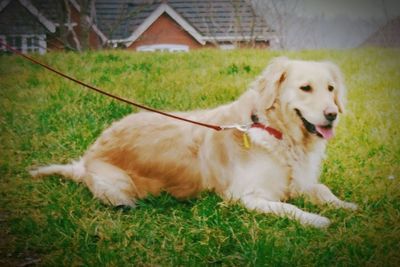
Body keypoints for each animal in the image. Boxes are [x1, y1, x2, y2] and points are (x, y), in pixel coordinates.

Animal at [30, 57, 356, 229]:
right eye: (305, 88)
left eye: (331, 88)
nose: (332, 115)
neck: (277, 132)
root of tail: (87, 158)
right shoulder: (245, 196)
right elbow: (288, 208)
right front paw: (317, 219)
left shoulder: (301, 181)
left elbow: (323, 190)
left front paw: (346, 206)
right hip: (116, 184)